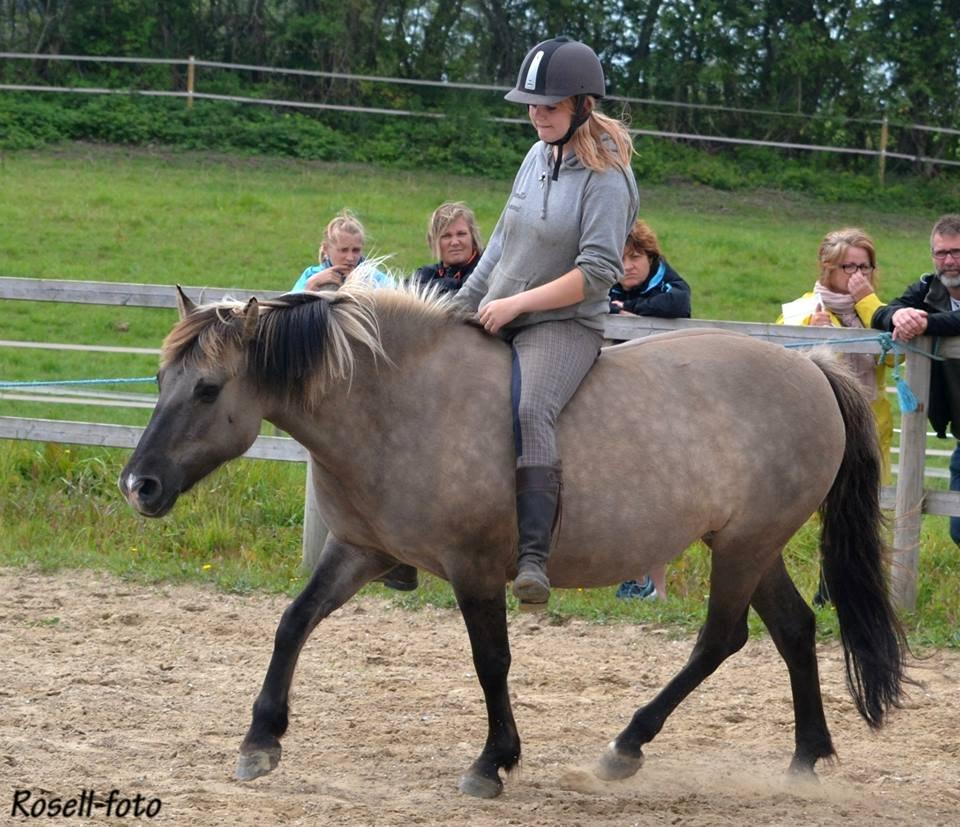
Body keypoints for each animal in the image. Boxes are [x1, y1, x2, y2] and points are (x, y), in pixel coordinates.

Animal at [120, 282, 908, 800]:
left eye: (208, 389)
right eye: (160, 377)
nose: (139, 485)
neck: (399, 401)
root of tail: (813, 369)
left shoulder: (474, 570)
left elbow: (490, 660)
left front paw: (492, 762)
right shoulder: (362, 551)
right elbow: (294, 622)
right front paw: (260, 742)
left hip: (744, 546)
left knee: (721, 638)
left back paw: (625, 747)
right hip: (750, 545)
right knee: (795, 629)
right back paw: (807, 758)